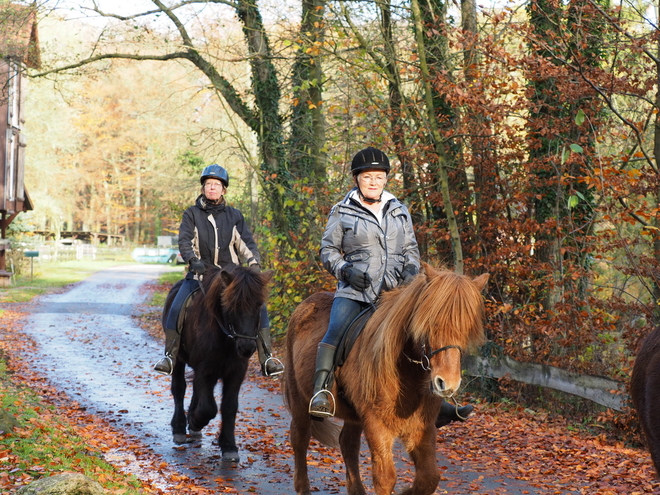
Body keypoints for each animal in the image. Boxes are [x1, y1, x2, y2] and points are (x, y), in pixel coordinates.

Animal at [164, 266, 272, 464]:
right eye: (231, 305)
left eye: (259, 304)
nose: (247, 347)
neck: (226, 339)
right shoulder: (206, 370)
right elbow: (209, 407)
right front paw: (196, 421)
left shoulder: (235, 372)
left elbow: (229, 407)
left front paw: (229, 446)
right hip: (179, 360)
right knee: (179, 388)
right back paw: (180, 428)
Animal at [282, 266, 488, 495]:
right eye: (431, 322)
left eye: (468, 328)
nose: (447, 384)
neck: (407, 374)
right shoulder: (377, 425)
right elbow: (385, 478)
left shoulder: (422, 428)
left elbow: (429, 477)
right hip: (300, 400)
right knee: (300, 439)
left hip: (353, 415)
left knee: (348, 444)